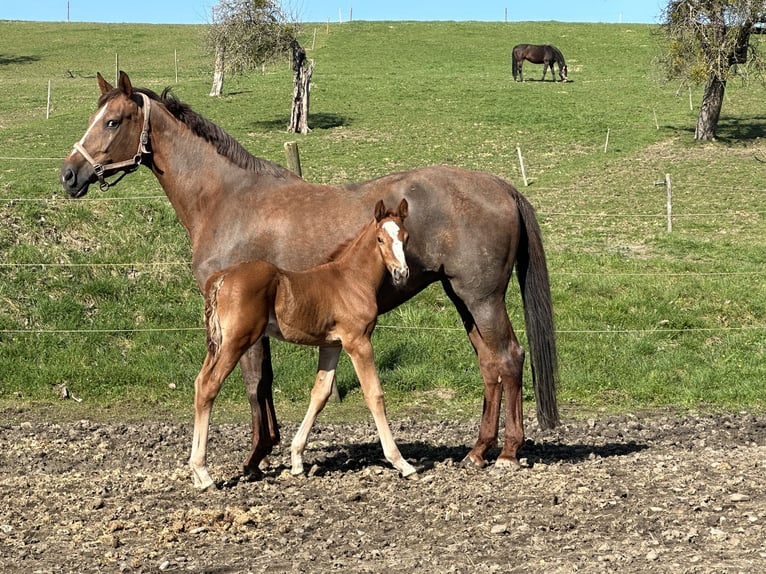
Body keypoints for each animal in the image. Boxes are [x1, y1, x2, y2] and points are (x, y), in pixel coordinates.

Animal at [189, 200, 414, 492]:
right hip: (236, 341)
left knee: (199, 383)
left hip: (219, 344)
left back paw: (196, 473)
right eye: (380, 239)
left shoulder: (332, 345)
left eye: (405, 238)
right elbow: (374, 394)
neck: (351, 279)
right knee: (209, 386)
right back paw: (203, 474)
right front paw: (402, 463)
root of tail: (222, 277)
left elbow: (320, 393)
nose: (401, 274)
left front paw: (296, 460)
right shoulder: (358, 342)